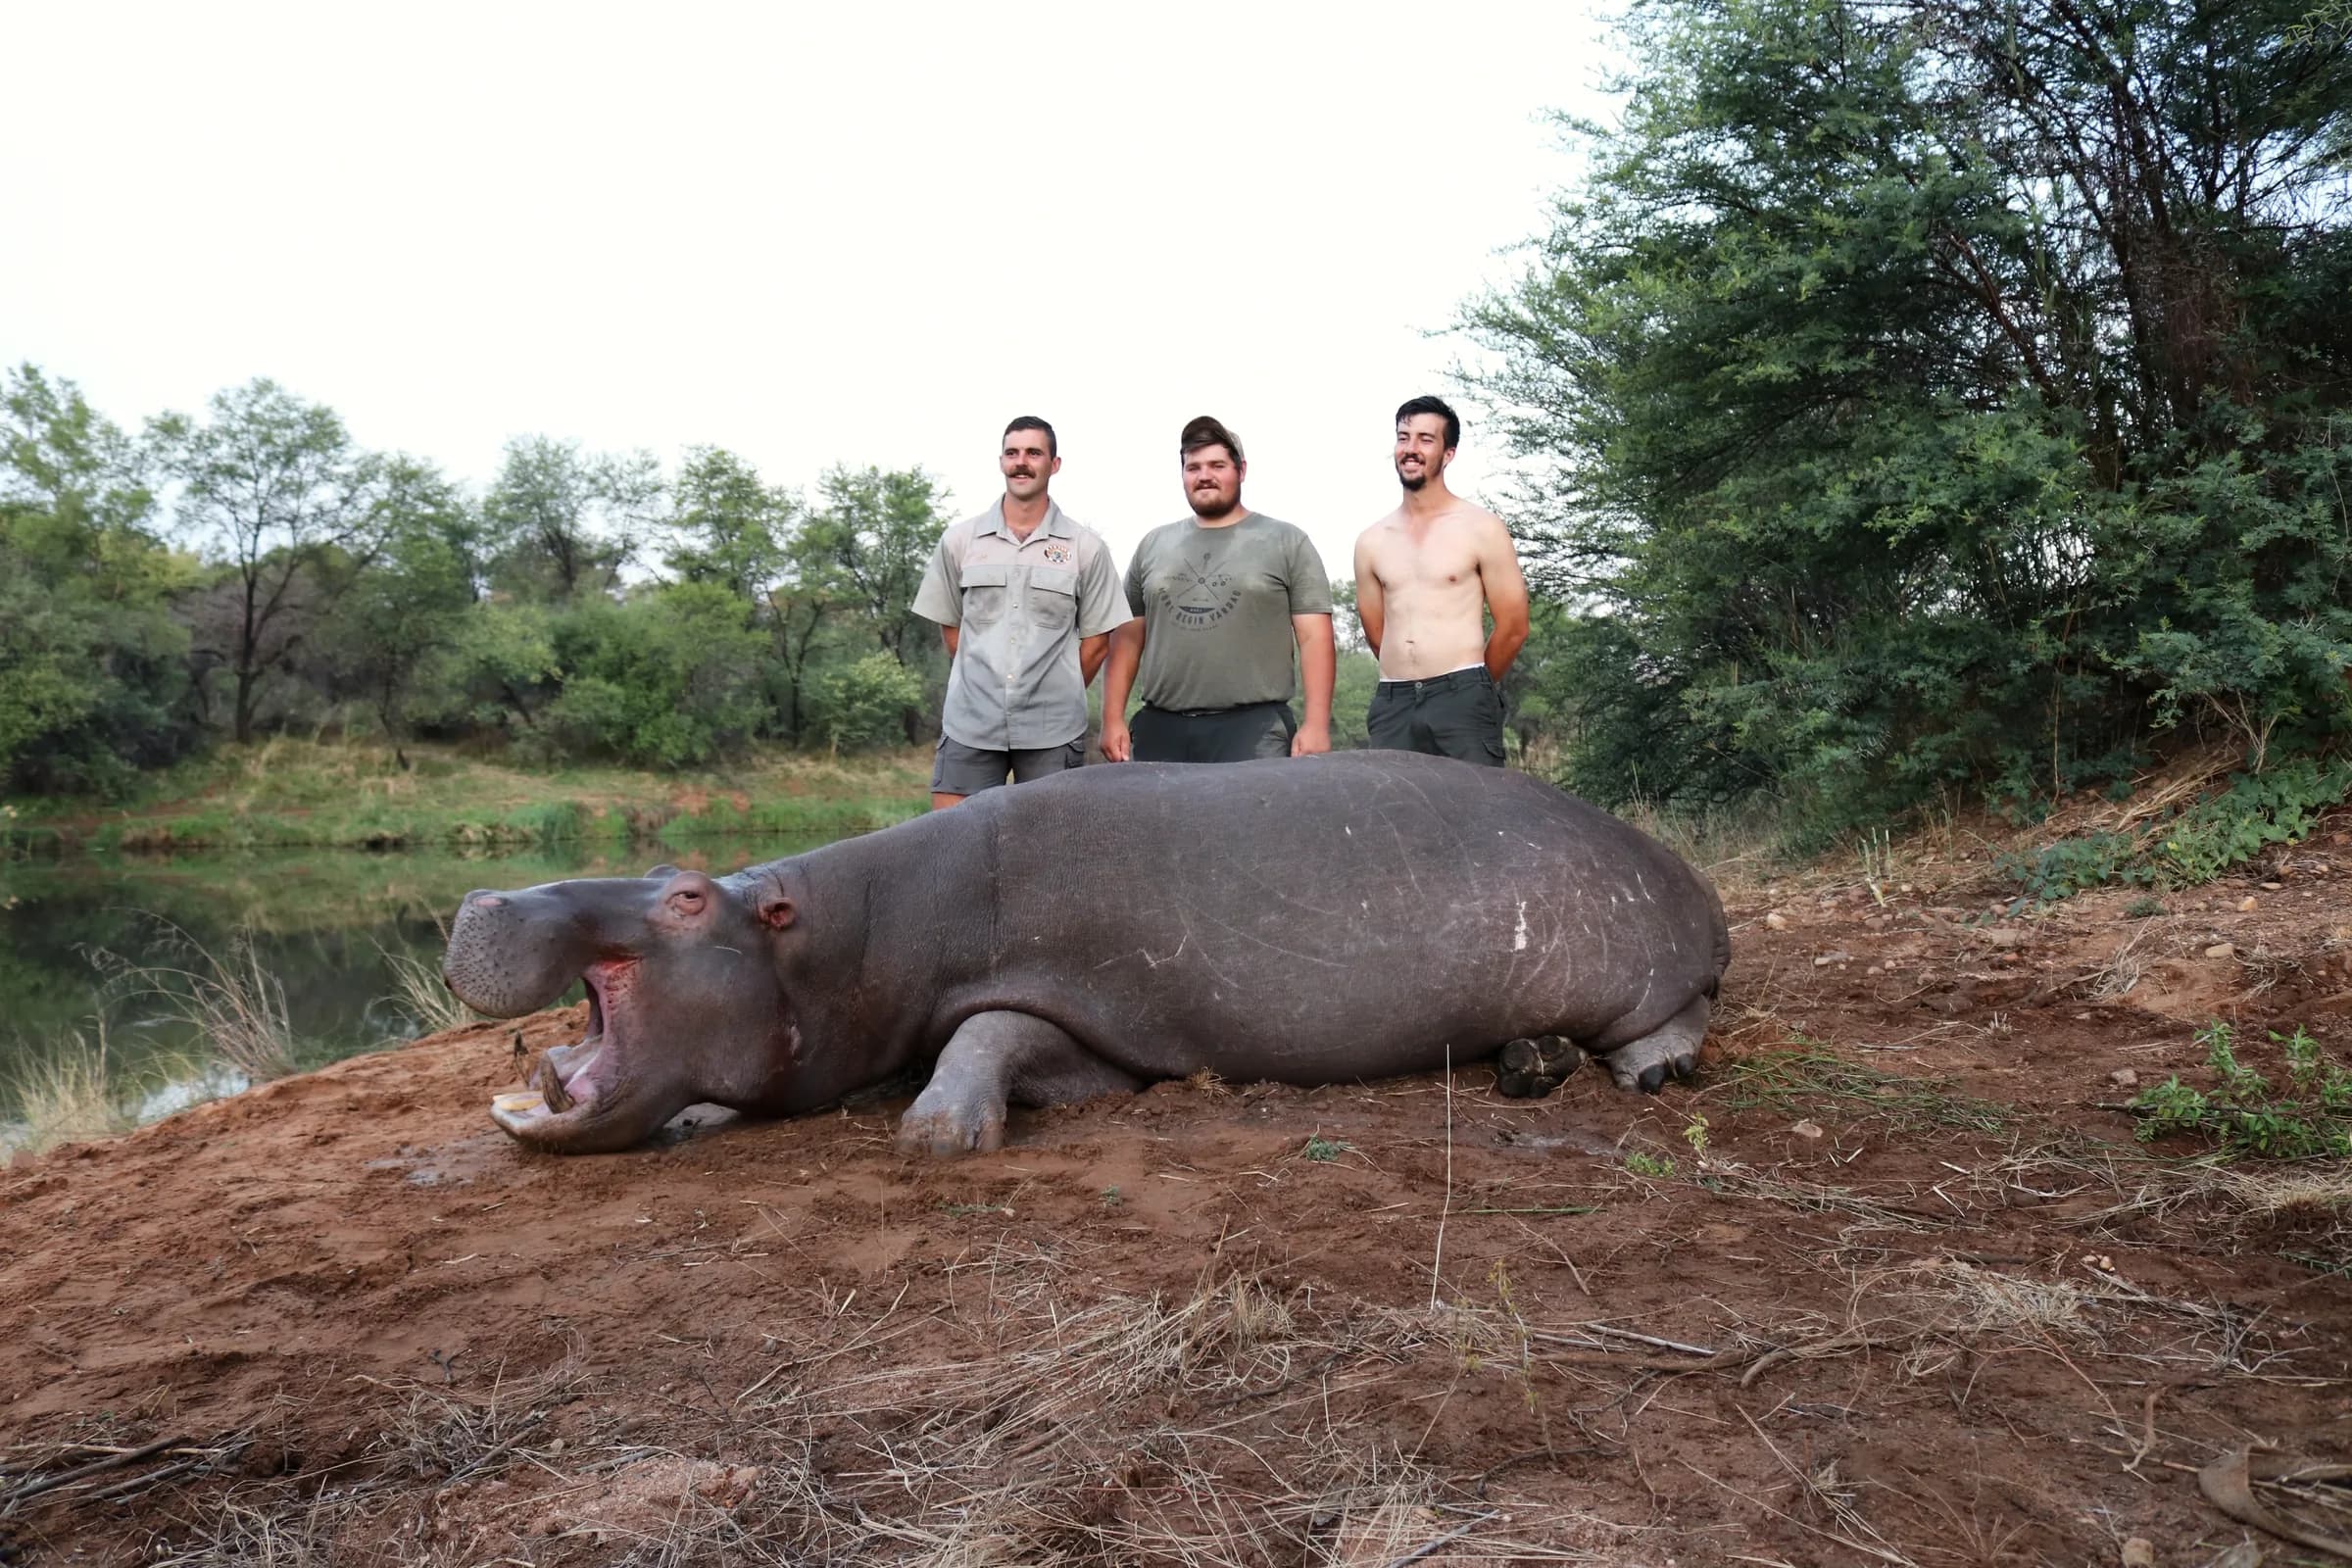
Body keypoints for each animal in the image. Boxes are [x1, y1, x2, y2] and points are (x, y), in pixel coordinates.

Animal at [442, 751, 1731, 1156]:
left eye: (688, 897)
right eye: (672, 868)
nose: (483, 891)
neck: (850, 935)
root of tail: (1689, 875)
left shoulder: (1086, 1022)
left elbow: (985, 1032)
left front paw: (938, 1132)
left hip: (1647, 957)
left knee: (1685, 1015)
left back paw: (1644, 1072)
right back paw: (1527, 1066)